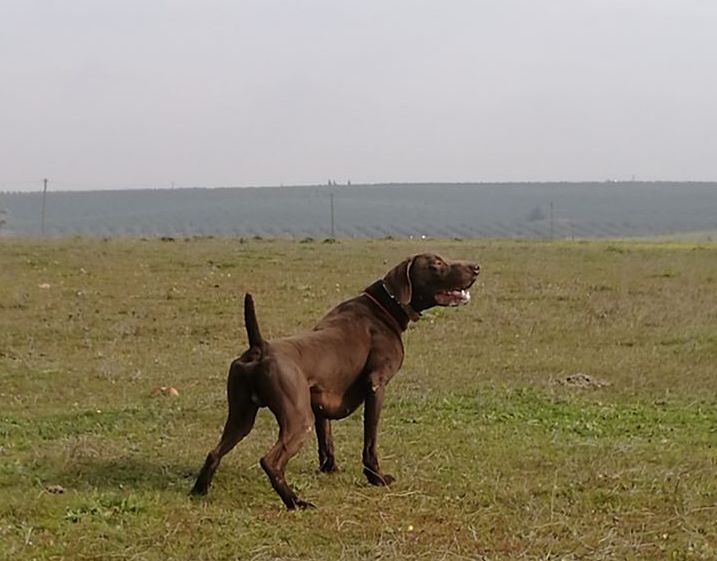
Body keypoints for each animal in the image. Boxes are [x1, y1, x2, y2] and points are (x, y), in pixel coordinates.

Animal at [193, 254, 478, 508]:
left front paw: (329, 468)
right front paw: (376, 478)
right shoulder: (377, 386)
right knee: (270, 461)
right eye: (436, 264)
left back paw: (199, 489)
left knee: (214, 452)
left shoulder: (319, 399)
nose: (476, 267)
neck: (384, 307)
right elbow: (370, 440)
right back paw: (295, 502)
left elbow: (326, 439)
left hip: (241, 417)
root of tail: (259, 346)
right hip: (298, 419)